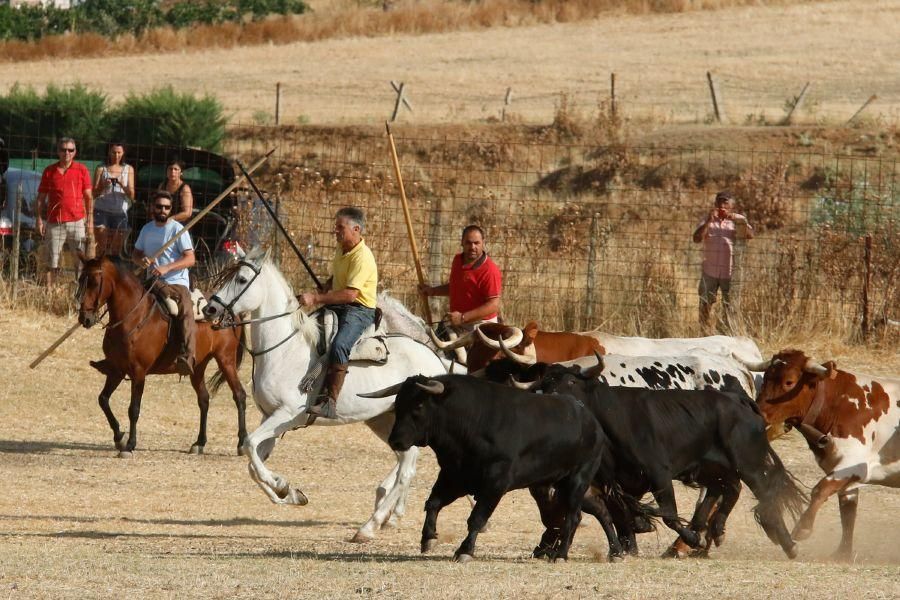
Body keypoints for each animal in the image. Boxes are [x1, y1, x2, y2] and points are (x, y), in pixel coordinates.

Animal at [75, 255, 246, 458]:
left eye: (94, 282)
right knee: (204, 400)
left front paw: (130, 445)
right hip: (197, 367)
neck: (134, 316)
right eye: (80, 280)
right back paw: (199, 443)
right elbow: (103, 400)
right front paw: (119, 437)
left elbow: (134, 409)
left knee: (239, 395)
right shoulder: (117, 370)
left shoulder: (138, 372)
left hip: (226, 360)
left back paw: (242, 443)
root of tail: (233, 312)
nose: (84, 319)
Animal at [207, 250, 454, 544]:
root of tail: (435, 359)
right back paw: (378, 519)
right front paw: (288, 491)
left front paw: (282, 487)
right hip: (384, 420)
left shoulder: (286, 415)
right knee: (407, 461)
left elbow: (248, 445)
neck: (285, 349)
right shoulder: (270, 418)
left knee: (408, 468)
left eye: (242, 279)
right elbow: (253, 463)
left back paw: (369, 526)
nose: (210, 309)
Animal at [360, 376, 652, 564]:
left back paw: (560, 555)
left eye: (418, 405)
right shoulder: (454, 476)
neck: (469, 420)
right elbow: (432, 503)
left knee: (573, 517)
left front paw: (465, 551)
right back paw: (615, 552)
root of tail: (593, 423)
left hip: (577, 481)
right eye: (397, 404)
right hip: (570, 486)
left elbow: (477, 518)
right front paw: (428, 538)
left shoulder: (495, 483)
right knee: (600, 510)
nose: (396, 441)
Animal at [744, 350, 900, 560]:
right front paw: (842, 554)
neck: (839, 403)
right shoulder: (846, 476)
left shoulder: (854, 464)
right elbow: (848, 512)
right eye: (766, 378)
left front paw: (804, 528)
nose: (756, 410)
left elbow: (820, 489)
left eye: (789, 382)